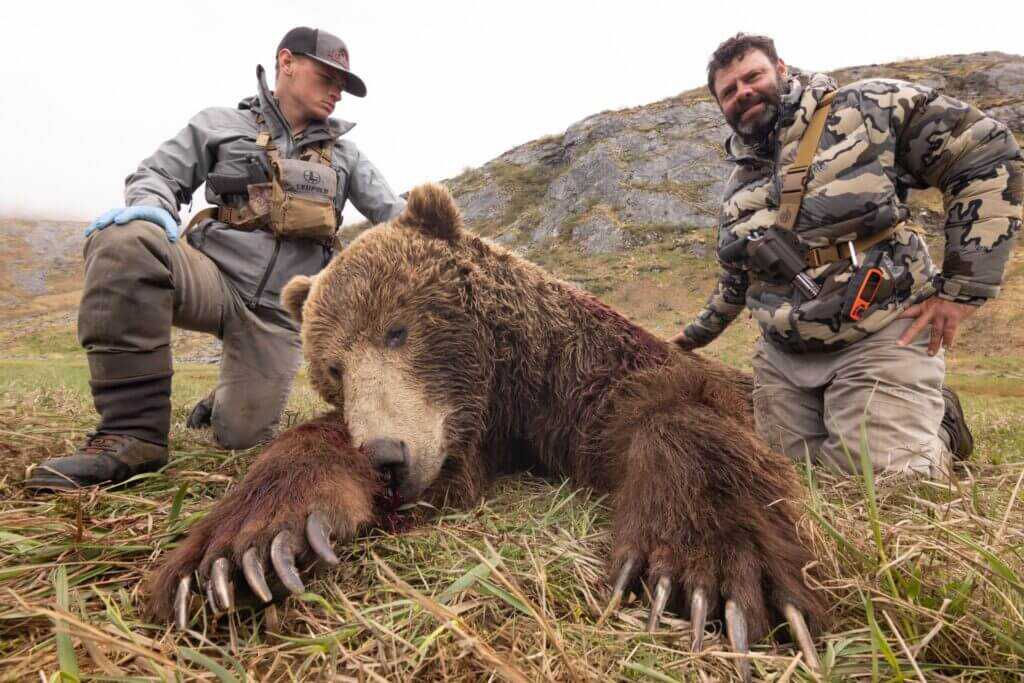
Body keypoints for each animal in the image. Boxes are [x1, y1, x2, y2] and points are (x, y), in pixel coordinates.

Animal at [148, 183, 824, 675]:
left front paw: (701, 573)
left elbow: (681, 422)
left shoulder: (595, 382)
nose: (388, 459)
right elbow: (314, 449)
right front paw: (239, 553)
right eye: (333, 366)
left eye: (398, 329)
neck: (511, 398)